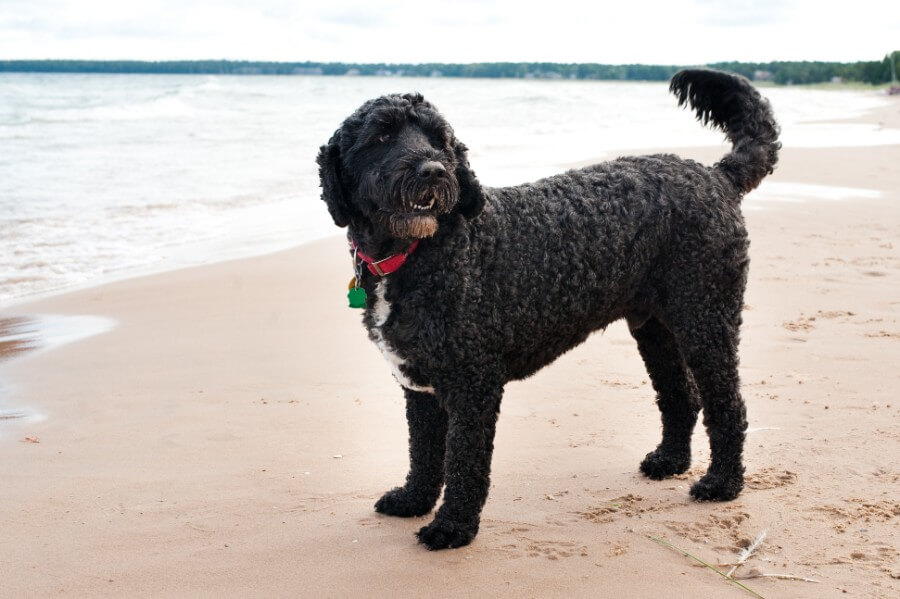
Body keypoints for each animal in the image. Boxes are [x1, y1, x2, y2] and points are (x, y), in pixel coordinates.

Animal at [318, 69, 780, 548]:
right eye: (382, 135)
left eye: (439, 139)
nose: (433, 170)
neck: (418, 254)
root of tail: (716, 175)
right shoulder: (420, 386)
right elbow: (424, 453)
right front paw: (413, 500)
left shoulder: (473, 384)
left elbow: (463, 462)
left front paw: (453, 526)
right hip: (655, 329)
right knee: (680, 395)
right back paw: (669, 461)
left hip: (706, 319)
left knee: (728, 406)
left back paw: (722, 483)